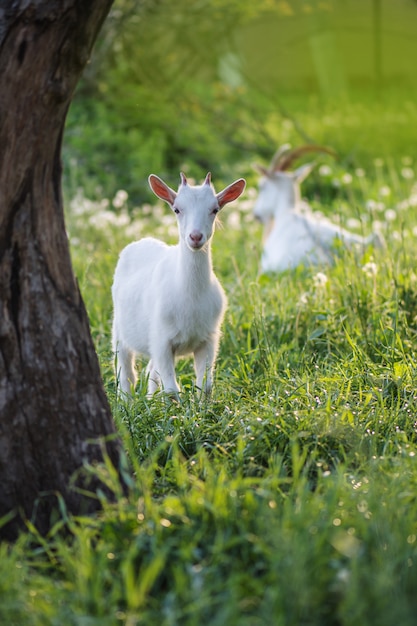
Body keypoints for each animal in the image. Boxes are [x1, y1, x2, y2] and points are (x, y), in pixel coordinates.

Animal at [112, 171, 245, 394]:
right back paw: (127, 400)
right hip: (119, 328)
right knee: (126, 373)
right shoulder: (161, 339)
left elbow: (205, 385)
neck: (190, 296)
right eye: (177, 209)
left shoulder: (208, 339)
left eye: (215, 209)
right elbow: (172, 390)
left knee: (151, 371)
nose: (195, 236)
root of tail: (142, 241)